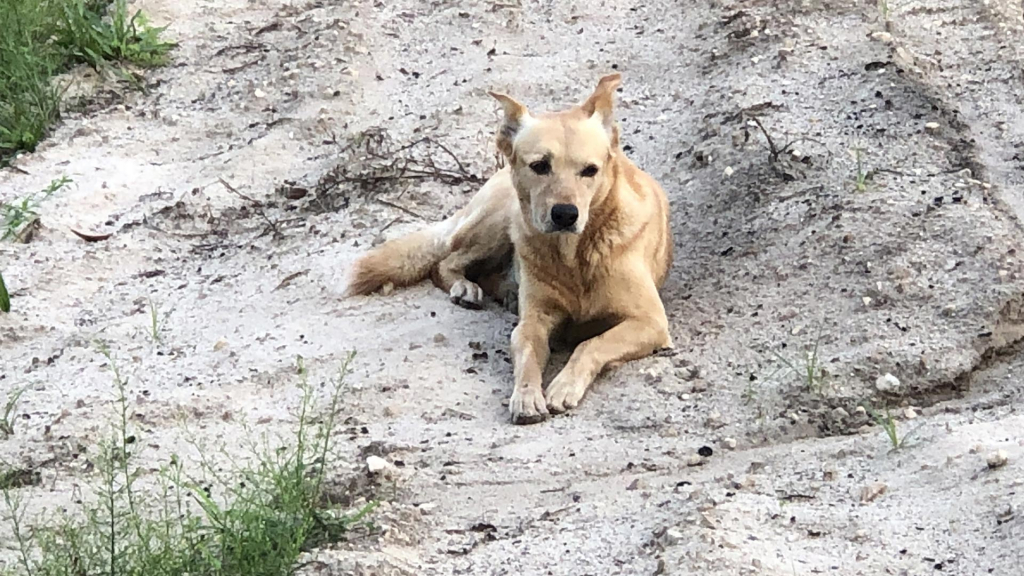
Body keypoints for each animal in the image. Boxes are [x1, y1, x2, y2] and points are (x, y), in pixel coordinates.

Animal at [348, 72, 675, 422]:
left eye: (590, 170)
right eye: (540, 166)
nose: (565, 214)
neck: (572, 256)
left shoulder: (650, 323)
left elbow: (592, 343)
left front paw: (564, 385)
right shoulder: (532, 324)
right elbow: (528, 354)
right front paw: (527, 395)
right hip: (502, 220)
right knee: (447, 261)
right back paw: (466, 288)